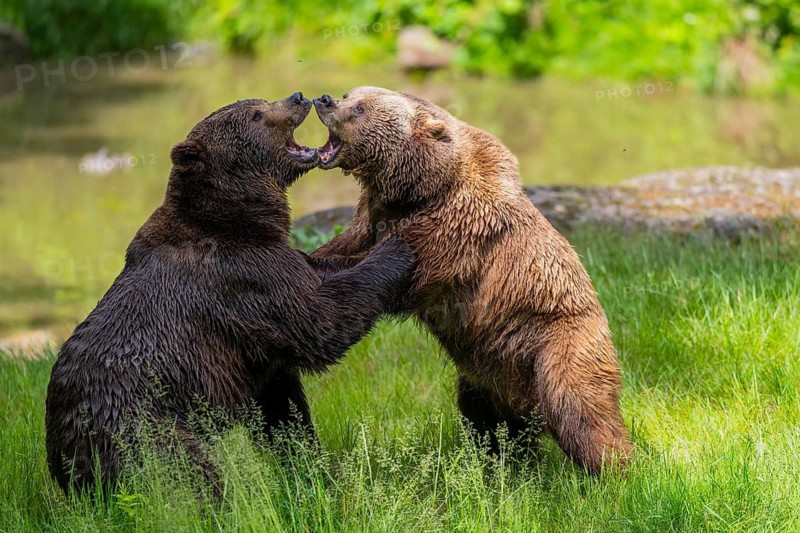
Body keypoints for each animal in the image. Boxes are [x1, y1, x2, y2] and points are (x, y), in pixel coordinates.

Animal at [45, 93, 415, 495]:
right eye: (256, 114)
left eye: (260, 101)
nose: (298, 97)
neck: (238, 218)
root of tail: (62, 462)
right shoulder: (243, 280)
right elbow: (320, 322)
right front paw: (399, 248)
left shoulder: (271, 283)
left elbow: (283, 402)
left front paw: (305, 461)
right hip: (143, 426)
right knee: (183, 473)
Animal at [310, 86, 632, 473]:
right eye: (350, 94)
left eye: (360, 108)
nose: (325, 100)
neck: (418, 187)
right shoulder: (372, 214)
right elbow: (350, 242)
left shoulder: (455, 228)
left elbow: (405, 274)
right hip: (488, 370)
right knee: (485, 418)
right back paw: (504, 461)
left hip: (559, 342)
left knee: (578, 408)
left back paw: (613, 469)